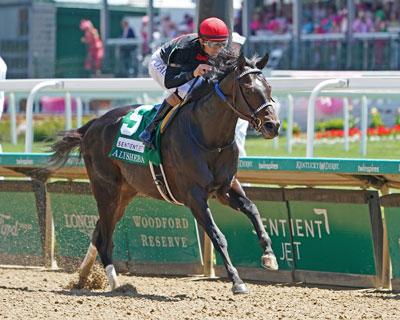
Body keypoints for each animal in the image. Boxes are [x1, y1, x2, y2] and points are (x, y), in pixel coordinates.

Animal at [50, 52, 280, 296]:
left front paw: (269, 256)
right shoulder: (194, 196)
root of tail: (92, 125)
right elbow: (217, 236)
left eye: (268, 87)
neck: (208, 137)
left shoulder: (225, 188)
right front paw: (237, 281)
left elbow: (252, 209)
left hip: (124, 193)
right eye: (248, 88)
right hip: (106, 189)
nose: (272, 125)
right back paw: (115, 284)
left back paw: (83, 278)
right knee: (105, 236)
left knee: (99, 230)